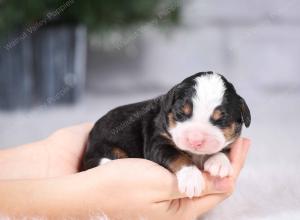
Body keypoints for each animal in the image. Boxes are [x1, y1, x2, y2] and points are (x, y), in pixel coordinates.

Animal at [82, 72, 251, 198]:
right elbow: (178, 156)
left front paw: (219, 163)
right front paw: (191, 178)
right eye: (181, 113)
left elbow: (224, 148)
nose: (195, 140)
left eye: (221, 119)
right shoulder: (158, 142)